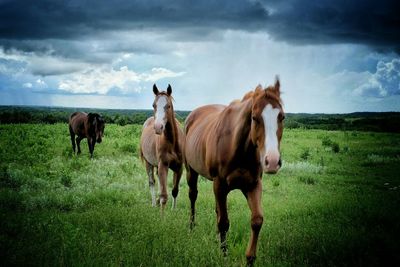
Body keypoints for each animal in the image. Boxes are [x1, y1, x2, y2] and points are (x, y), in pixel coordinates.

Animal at [184, 77, 284, 266]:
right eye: (254, 118)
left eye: (282, 117)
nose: (272, 161)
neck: (239, 148)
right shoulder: (220, 184)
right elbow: (224, 222)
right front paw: (224, 254)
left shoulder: (253, 185)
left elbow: (257, 220)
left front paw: (250, 258)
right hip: (191, 171)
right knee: (193, 196)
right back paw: (192, 227)